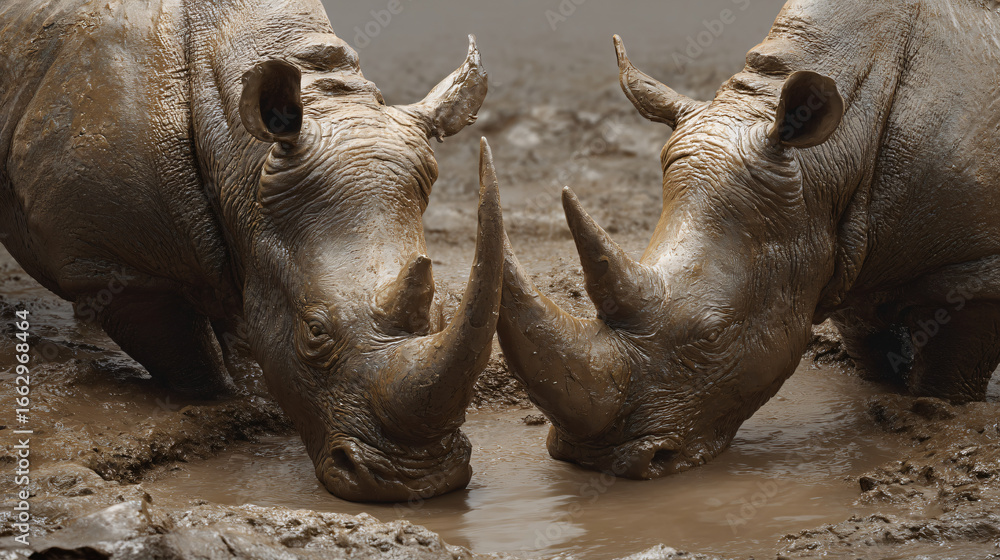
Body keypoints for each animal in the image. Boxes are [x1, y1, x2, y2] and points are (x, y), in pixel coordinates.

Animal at [0, 0, 505, 502]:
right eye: (314, 331)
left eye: (440, 311)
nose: (417, 482)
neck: (240, 156)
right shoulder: (115, 266)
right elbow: (190, 356)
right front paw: (233, 401)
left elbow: (244, 318)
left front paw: (258, 395)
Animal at [497, 0, 1000, 479]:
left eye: (714, 334)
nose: (594, 461)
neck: (833, 156)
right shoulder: (851, 247)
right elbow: (871, 348)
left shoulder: (973, 270)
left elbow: (945, 376)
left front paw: (938, 414)